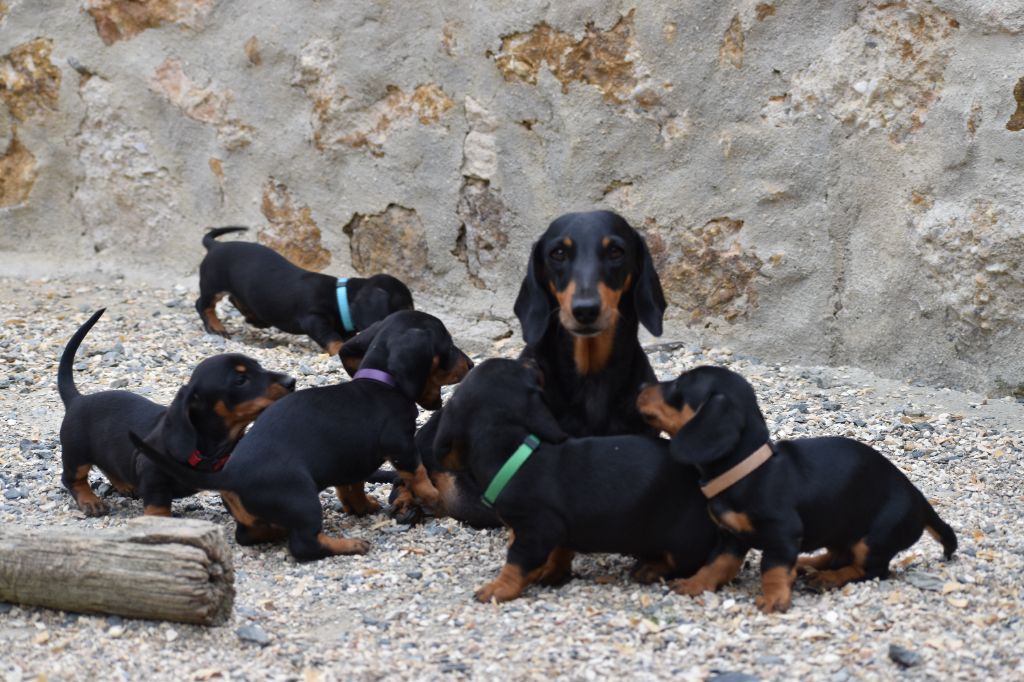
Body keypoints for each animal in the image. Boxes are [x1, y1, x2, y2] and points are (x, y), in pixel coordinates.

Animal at [58, 309, 294, 516]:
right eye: (240, 379)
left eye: (259, 366)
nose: (291, 382)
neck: (210, 446)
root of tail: (78, 399)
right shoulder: (153, 475)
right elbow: (158, 506)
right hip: (76, 455)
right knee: (72, 478)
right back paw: (90, 501)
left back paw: (124, 484)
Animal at [129, 311, 475, 561]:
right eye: (448, 345)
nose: (471, 364)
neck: (380, 382)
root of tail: (229, 476)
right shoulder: (401, 443)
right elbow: (417, 472)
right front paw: (432, 496)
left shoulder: (349, 463)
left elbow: (352, 488)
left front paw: (363, 507)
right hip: (302, 499)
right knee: (305, 546)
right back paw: (349, 545)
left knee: (249, 536)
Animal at [195, 227, 411, 356]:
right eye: (405, 308)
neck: (338, 297)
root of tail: (215, 246)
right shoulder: (313, 319)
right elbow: (332, 338)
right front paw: (339, 349)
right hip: (213, 285)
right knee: (203, 305)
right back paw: (216, 327)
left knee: (235, 299)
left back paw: (255, 318)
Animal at [436, 356, 716, 602]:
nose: (534, 361)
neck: (517, 453)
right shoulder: (558, 529)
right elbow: (559, 551)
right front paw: (551, 572)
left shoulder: (536, 529)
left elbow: (515, 562)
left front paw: (499, 588)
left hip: (684, 538)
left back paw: (653, 568)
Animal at [634, 364, 954, 614]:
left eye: (679, 384)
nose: (641, 384)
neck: (748, 471)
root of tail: (920, 501)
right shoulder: (731, 536)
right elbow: (717, 564)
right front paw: (695, 584)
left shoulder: (782, 534)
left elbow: (773, 569)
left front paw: (775, 598)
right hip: (839, 527)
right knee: (838, 554)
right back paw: (807, 564)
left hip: (874, 539)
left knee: (869, 570)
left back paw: (830, 578)